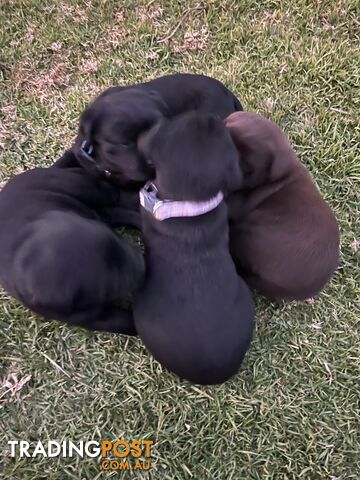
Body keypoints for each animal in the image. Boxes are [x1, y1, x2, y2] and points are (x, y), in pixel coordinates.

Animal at [0, 151, 143, 334]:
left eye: (115, 241)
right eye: (107, 288)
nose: (143, 263)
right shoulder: (89, 315)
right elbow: (125, 322)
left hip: (76, 184)